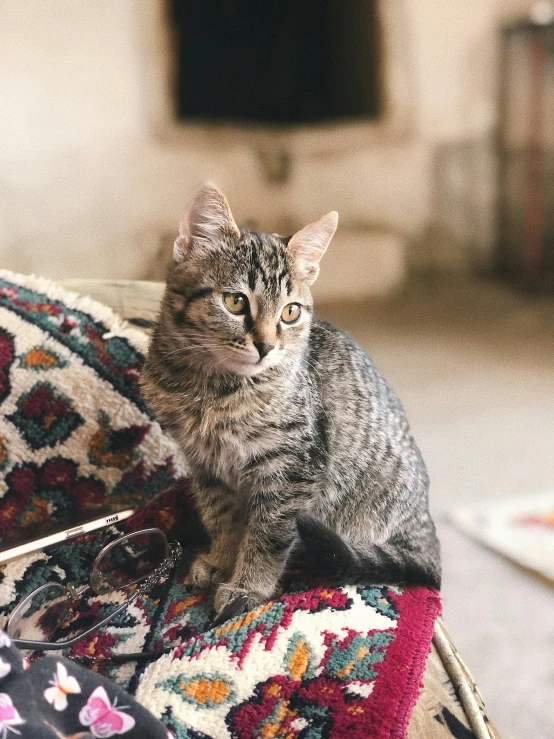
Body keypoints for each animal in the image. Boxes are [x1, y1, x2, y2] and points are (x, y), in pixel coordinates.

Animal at [139, 185, 440, 620]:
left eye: (291, 312)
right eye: (235, 302)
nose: (266, 346)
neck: (210, 388)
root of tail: (425, 527)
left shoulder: (292, 469)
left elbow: (268, 534)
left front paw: (247, 586)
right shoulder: (205, 465)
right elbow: (221, 516)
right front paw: (221, 559)